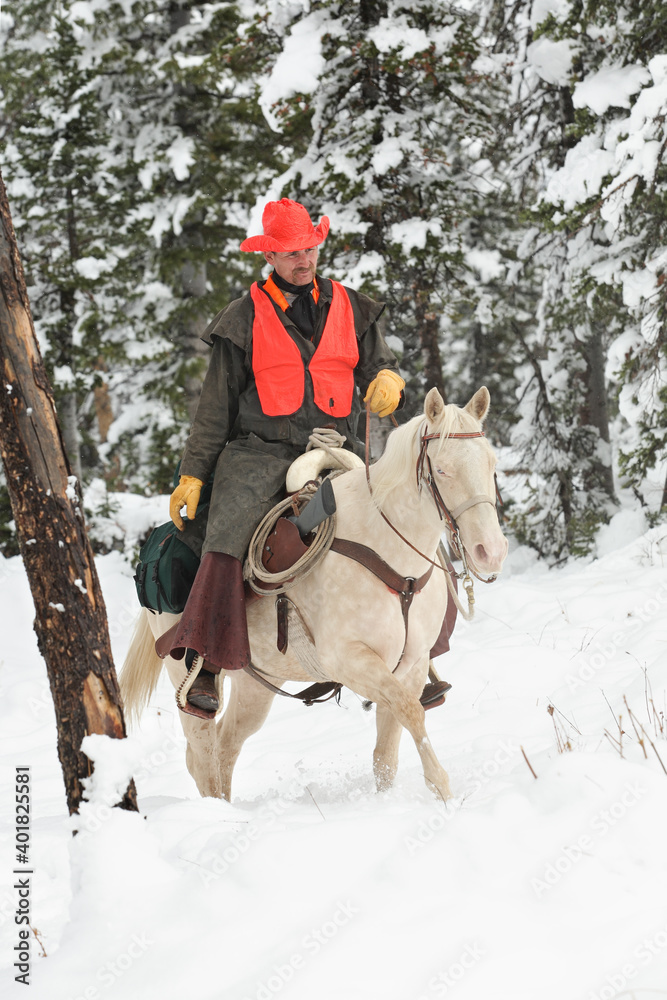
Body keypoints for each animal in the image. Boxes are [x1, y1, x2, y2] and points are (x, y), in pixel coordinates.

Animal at [120, 386, 508, 802]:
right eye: (442, 469)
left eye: (491, 463)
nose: (490, 551)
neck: (389, 554)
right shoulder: (350, 661)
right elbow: (411, 713)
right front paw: (443, 791)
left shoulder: (412, 664)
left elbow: (387, 752)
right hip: (186, 672)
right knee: (203, 752)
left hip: (255, 685)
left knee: (226, 747)